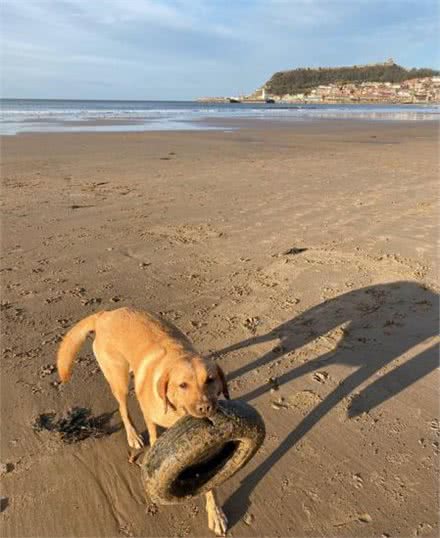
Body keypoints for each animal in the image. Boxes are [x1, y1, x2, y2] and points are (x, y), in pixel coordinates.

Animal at [56, 306, 230, 532]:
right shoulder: (152, 418)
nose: (205, 407)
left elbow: (210, 482)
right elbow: (155, 438)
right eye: (182, 385)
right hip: (119, 379)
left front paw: (216, 513)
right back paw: (133, 435)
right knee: (123, 408)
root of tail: (105, 315)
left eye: (210, 379)